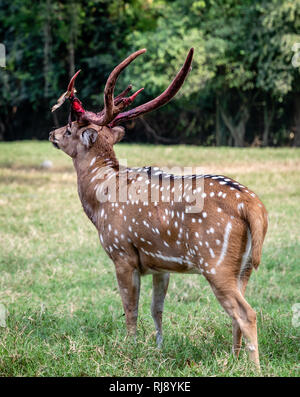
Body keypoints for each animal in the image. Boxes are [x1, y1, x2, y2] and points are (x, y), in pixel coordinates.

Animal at [48, 47, 268, 368]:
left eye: (69, 129)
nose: (51, 133)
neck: (99, 201)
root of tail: (254, 206)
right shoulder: (159, 264)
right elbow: (157, 309)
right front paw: (159, 348)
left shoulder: (122, 253)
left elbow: (131, 309)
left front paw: (130, 349)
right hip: (245, 265)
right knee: (237, 313)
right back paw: (234, 358)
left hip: (215, 260)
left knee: (247, 313)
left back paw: (253, 366)